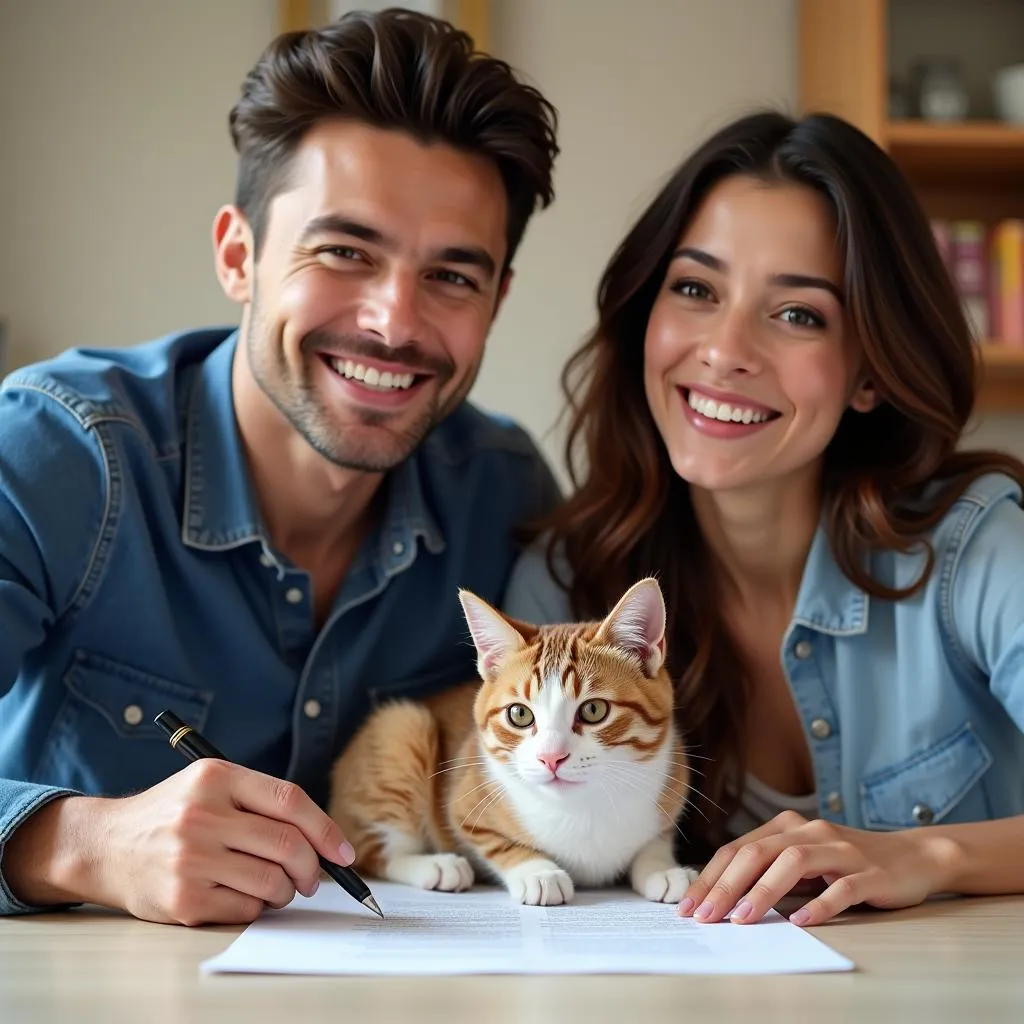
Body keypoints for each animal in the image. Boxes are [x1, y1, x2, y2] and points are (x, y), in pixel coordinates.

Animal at [323, 577, 700, 905]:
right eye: (519, 714)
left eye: (593, 710)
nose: (551, 758)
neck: (583, 805)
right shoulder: (464, 802)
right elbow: (494, 842)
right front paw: (538, 872)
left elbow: (654, 840)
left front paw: (663, 868)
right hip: (401, 728)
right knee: (376, 853)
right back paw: (435, 865)